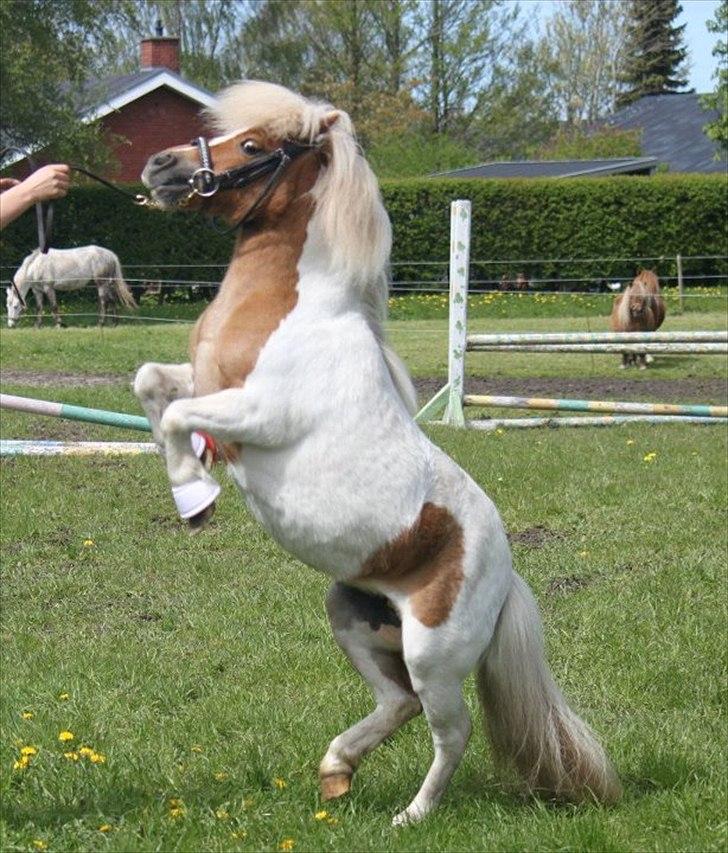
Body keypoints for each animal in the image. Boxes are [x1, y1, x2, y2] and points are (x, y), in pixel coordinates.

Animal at [6, 246, 136, 330]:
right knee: (112, 300)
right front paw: (37, 326)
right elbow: (39, 308)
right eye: (7, 306)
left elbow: (54, 306)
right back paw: (114, 323)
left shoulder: (49, 288)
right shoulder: (37, 290)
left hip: (101, 284)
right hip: (107, 284)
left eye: (16, 306)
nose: (10, 324)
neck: (36, 266)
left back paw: (100, 324)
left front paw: (59, 325)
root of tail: (110, 255)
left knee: (104, 303)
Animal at [132, 81, 620, 824]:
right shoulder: (208, 382)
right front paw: (194, 488)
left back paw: (412, 813)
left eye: (252, 144)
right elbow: (152, 385)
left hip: (433, 654)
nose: (161, 166)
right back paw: (337, 769)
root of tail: (506, 577)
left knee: (450, 729)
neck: (294, 311)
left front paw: (195, 495)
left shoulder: (259, 410)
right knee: (398, 702)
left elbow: (179, 414)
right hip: (351, 616)